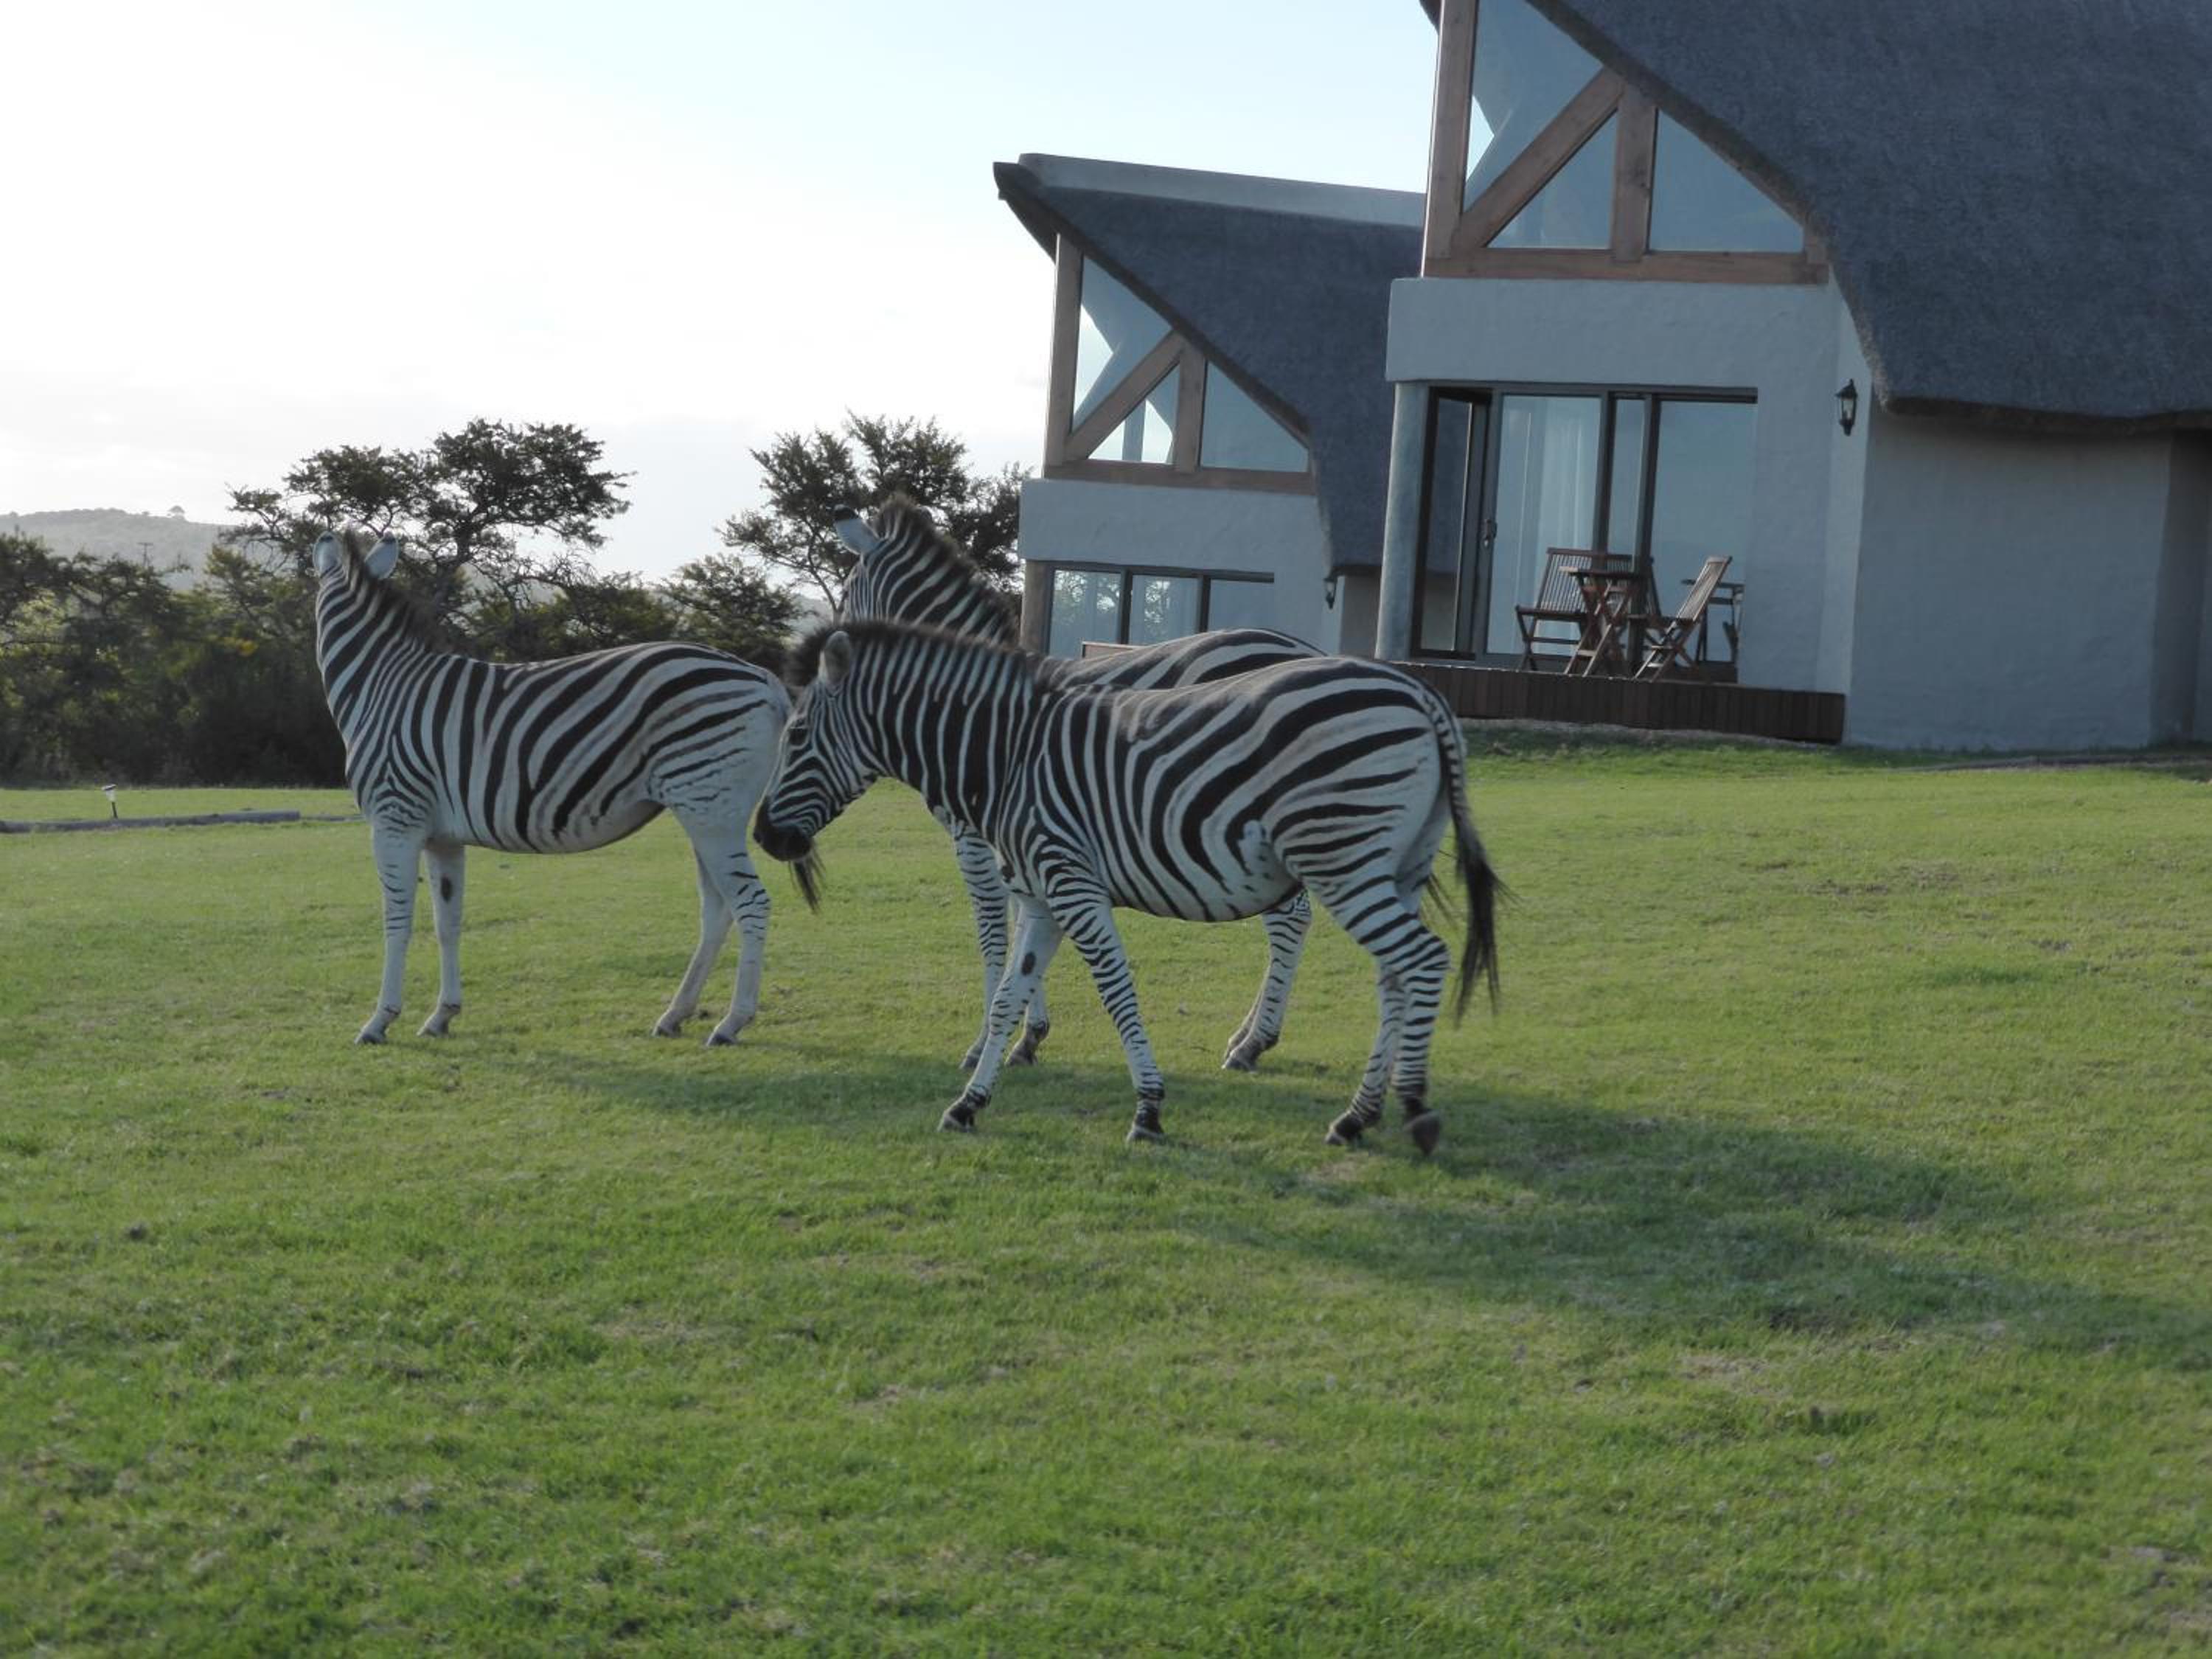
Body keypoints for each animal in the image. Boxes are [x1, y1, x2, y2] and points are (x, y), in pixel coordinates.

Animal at [310, 526, 803, 1046]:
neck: (380, 686)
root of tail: (764, 679)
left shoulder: (395, 820)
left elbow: (397, 921)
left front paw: (379, 1020)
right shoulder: (442, 836)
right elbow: (448, 923)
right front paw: (443, 1014)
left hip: (709, 808)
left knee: (751, 902)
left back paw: (732, 1022)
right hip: (707, 811)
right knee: (718, 909)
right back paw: (675, 1015)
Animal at [752, 620, 1500, 1152]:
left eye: (796, 735)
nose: (763, 836)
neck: (1005, 754)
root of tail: (1420, 692)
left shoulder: (1071, 882)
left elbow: (1116, 991)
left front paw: (1148, 1109)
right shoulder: (1041, 897)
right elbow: (1006, 1000)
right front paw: (970, 1102)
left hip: (1340, 857)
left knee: (1421, 960)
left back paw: (1411, 1108)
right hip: (1394, 866)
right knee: (1394, 976)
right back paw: (1357, 1116)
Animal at [829, 495, 1319, 1074]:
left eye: (845, 596)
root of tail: (1303, 650)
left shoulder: (975, 836)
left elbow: (993, 930)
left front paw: (984, 1042)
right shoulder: (1018, 834)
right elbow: (1024, 920)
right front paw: (1028, 1034)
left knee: (1290, 918)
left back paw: (1252, 1043)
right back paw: (1249, 1034)